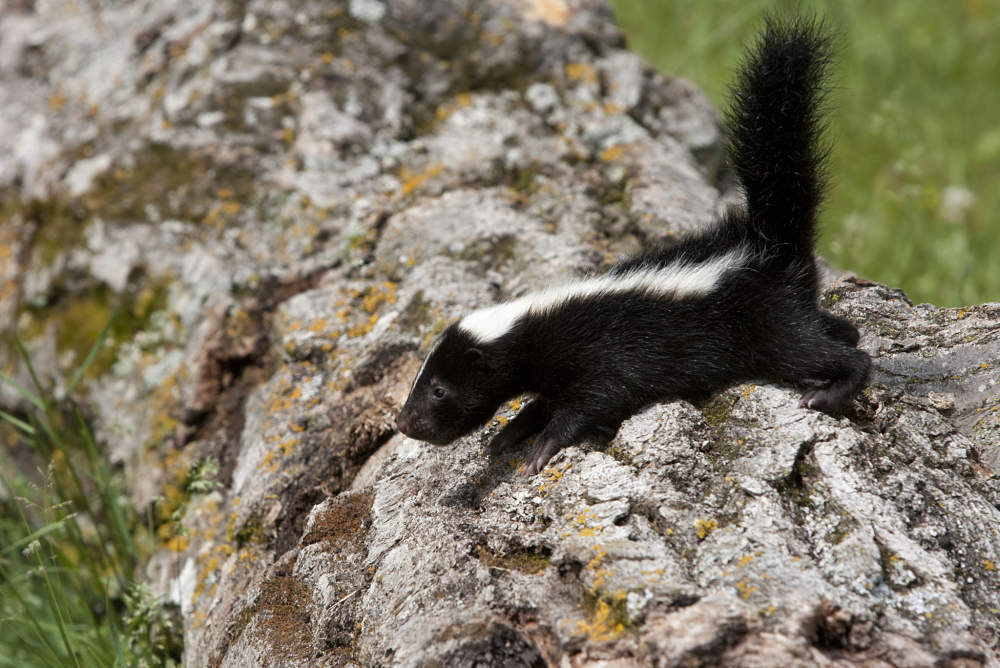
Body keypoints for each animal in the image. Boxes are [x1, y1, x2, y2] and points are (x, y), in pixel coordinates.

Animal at [394, 15, 872, 474]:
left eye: (439, 390)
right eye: (422, 382)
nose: (403, 422)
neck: (535, 323)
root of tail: (768, 240)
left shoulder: (611, 352)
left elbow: (599, 397)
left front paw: (544, 444)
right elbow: (547, 399)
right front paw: (512, 431)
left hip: (765, 320)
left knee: (822, 353)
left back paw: (829, 393)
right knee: (835, 330)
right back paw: (842, 332)